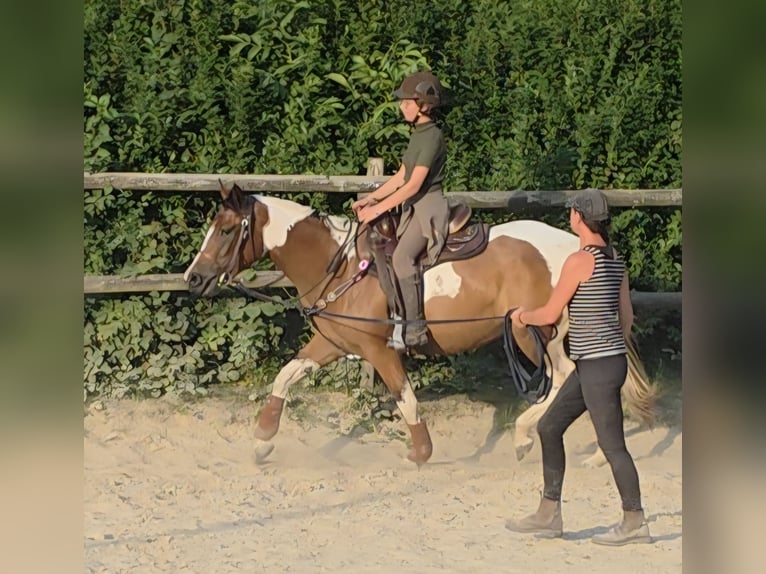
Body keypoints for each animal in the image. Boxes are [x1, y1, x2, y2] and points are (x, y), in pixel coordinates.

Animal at [183, 182, 655, 467]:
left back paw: (526, 436)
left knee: (567, 376)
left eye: (226, 230)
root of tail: (579, 247)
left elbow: (405, 399)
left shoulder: (380, 350)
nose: (193, 278)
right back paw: (595, 454)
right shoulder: (332, 342)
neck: (343, 266)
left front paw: (422, 452)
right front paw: (263, 440)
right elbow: (285, 375)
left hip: (539, 332)